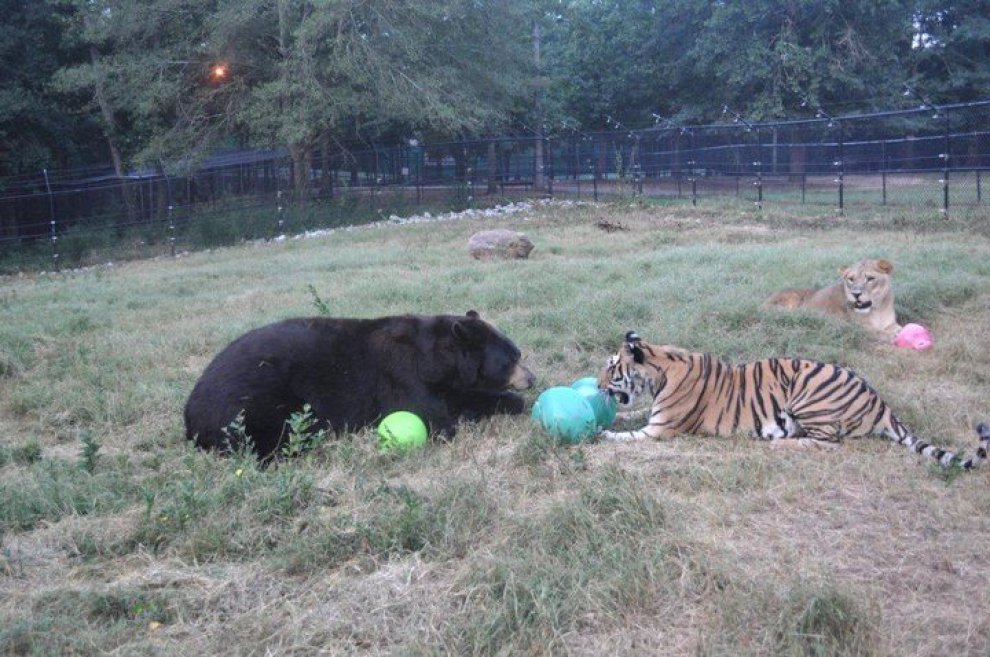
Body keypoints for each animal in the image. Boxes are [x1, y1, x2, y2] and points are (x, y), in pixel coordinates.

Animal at [184, 311, 534, 459]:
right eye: (511, 358)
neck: (435, 357)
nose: (530, 377)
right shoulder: (401, 375)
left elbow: (461, 395)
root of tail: (189, 418)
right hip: (253, 399)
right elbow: (436, 416)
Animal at [597, 331, 990, 470]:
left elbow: (624, 437)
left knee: (828, 443)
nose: (598, 387)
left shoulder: (659, 430)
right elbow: (627, 419)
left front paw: (598, 435)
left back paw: (780, 444)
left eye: (611, 368)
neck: (660, 367)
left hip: (807, 392)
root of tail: (881, 402)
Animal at [763, 258, 901, 338]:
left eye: (870, 279)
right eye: (851, 279)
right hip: (792, 297)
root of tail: (764, 303)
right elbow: (879, 332)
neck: (878, 309)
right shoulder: (857, 327)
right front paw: (893, 335)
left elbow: (896, 328)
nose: (855, 294)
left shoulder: (891, 323)